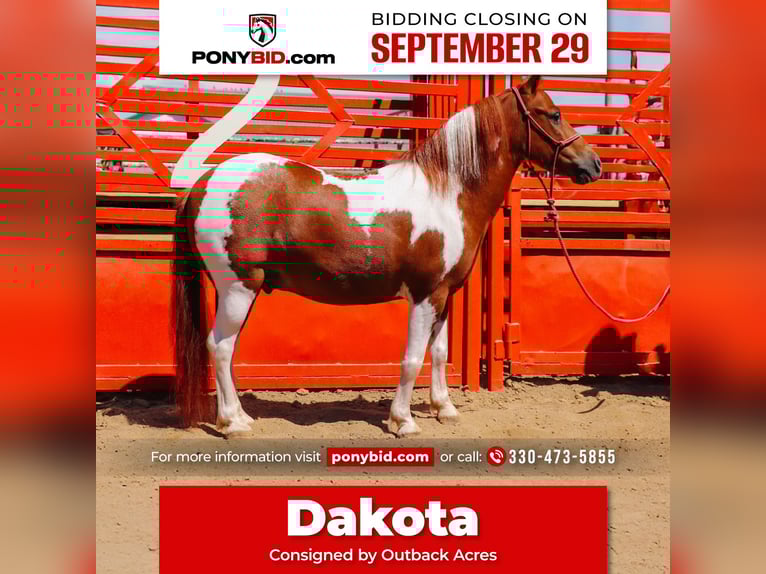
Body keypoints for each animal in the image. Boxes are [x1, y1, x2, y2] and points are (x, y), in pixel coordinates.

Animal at [171, 76, 602, 436]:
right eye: (554, 114)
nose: (593, 164)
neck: (447, 194)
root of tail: (204, 179)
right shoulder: (425, 295)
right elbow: (412, 359)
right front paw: (403, 421)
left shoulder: (444, 295)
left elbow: (439, 353)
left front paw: (444, 408)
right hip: (238, 289)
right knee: (220, 347)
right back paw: (232, 424)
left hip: (242, 292)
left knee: (227, 349)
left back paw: (241, 416)